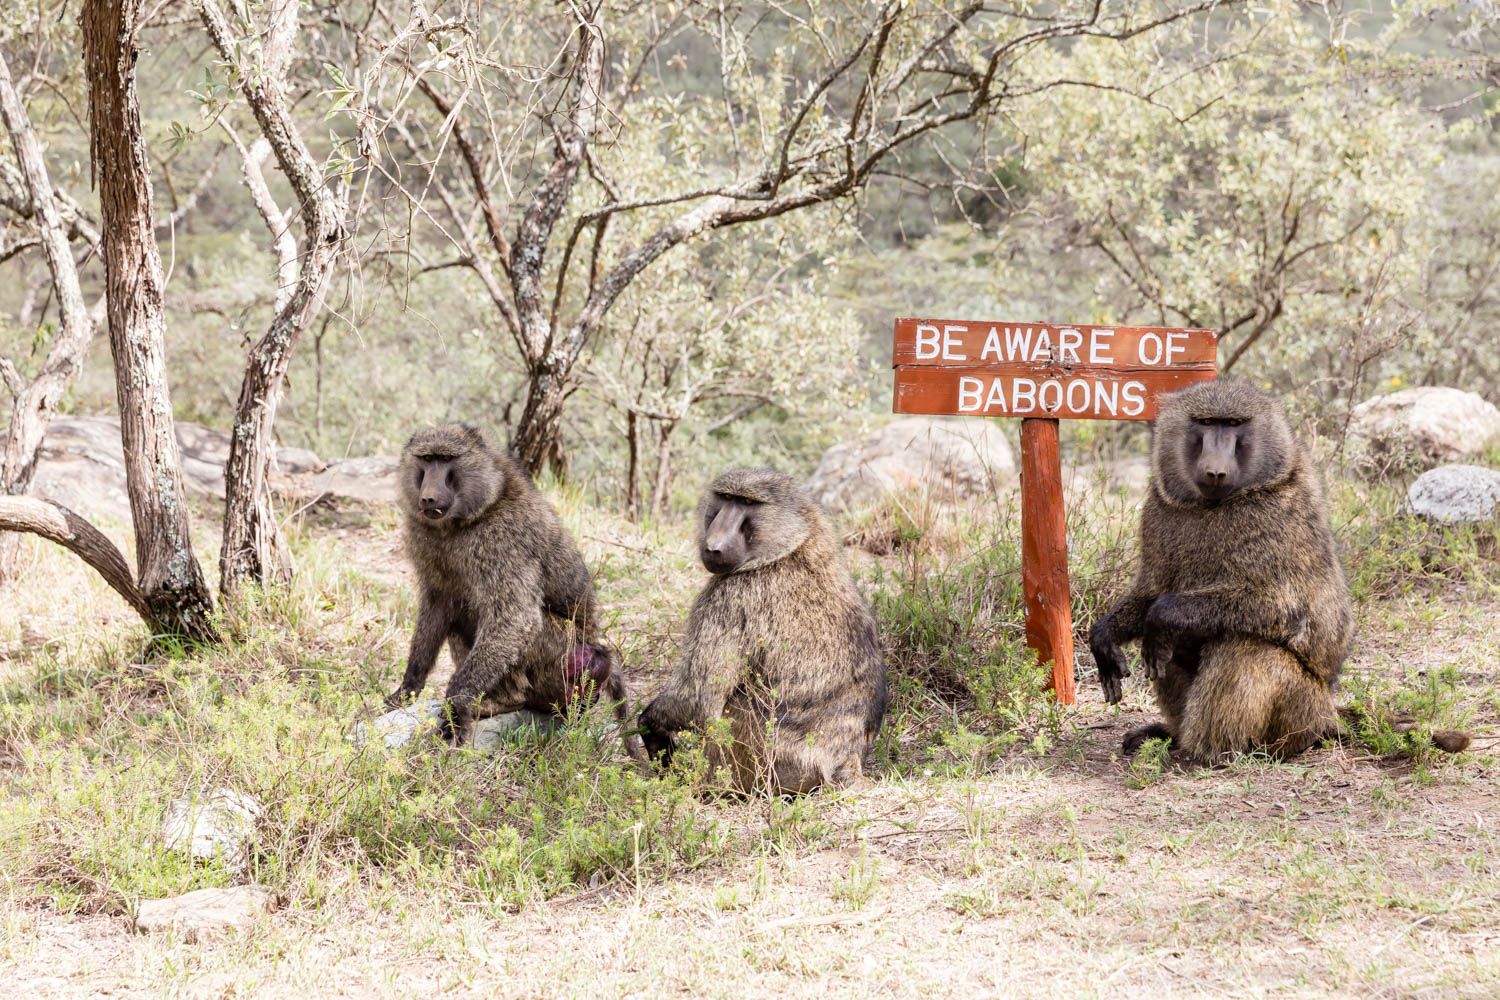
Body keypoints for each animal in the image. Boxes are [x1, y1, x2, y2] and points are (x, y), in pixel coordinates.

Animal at [386, 423, 644, 758]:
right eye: (427, 459)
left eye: (446, 459)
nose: (428, 498)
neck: (471, 515)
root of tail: (600, 652)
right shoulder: (424, 534)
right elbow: (439, 604)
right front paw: (407, 688)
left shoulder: (503, 539)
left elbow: (515, 619)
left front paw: (456, 708)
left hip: (569, 661)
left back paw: (504, 701)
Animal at [637, 467, 889, 796]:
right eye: (725, 498)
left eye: (747, 502)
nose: (713, 546)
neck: (791, 548)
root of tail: (846, 761)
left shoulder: (728, 597)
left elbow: (698, 701)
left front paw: (651, 729)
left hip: (753, 764)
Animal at [1089, 379, 1469, 762]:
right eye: (1206, 422)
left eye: (1233, 425)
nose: (1215, 471)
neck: (1214, 505)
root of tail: (1328, 710)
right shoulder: (1159, 511)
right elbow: (1151, 592)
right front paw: (1104, 635)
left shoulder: (1275, 519)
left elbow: (1281, 608)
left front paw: (1163, 614)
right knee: (1168, 650)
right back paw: (1173, 737)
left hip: (1301, 708)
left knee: (1244, 646)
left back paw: (1207, 751)